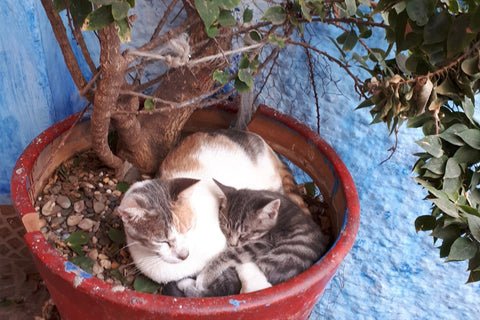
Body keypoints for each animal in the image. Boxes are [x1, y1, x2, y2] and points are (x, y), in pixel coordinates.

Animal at [173, 180, 330, 298]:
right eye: (226, 229)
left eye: (244, 234)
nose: (232, 243)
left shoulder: (263, 243)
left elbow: (231, 254)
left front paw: (205, 276)